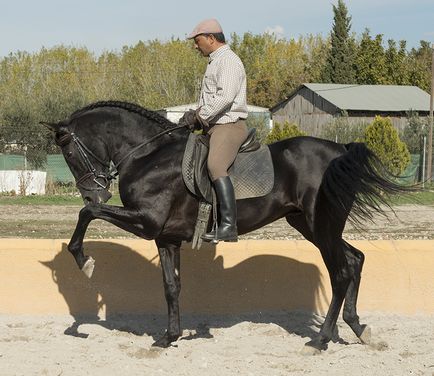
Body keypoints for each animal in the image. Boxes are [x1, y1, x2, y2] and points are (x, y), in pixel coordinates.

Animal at [44, 101, 406, 354]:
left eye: (69, 150)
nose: (95, 190)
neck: (149, 155)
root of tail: (339, 149)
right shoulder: (165, 238)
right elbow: (171, 287)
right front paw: (169, 337)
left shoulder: (145, 221)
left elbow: (87, 214)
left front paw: (84, 261)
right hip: (311, 225)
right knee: (354, 260)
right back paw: (356, 328)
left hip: (322, 225)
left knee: (341, 272)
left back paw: (320, 340)